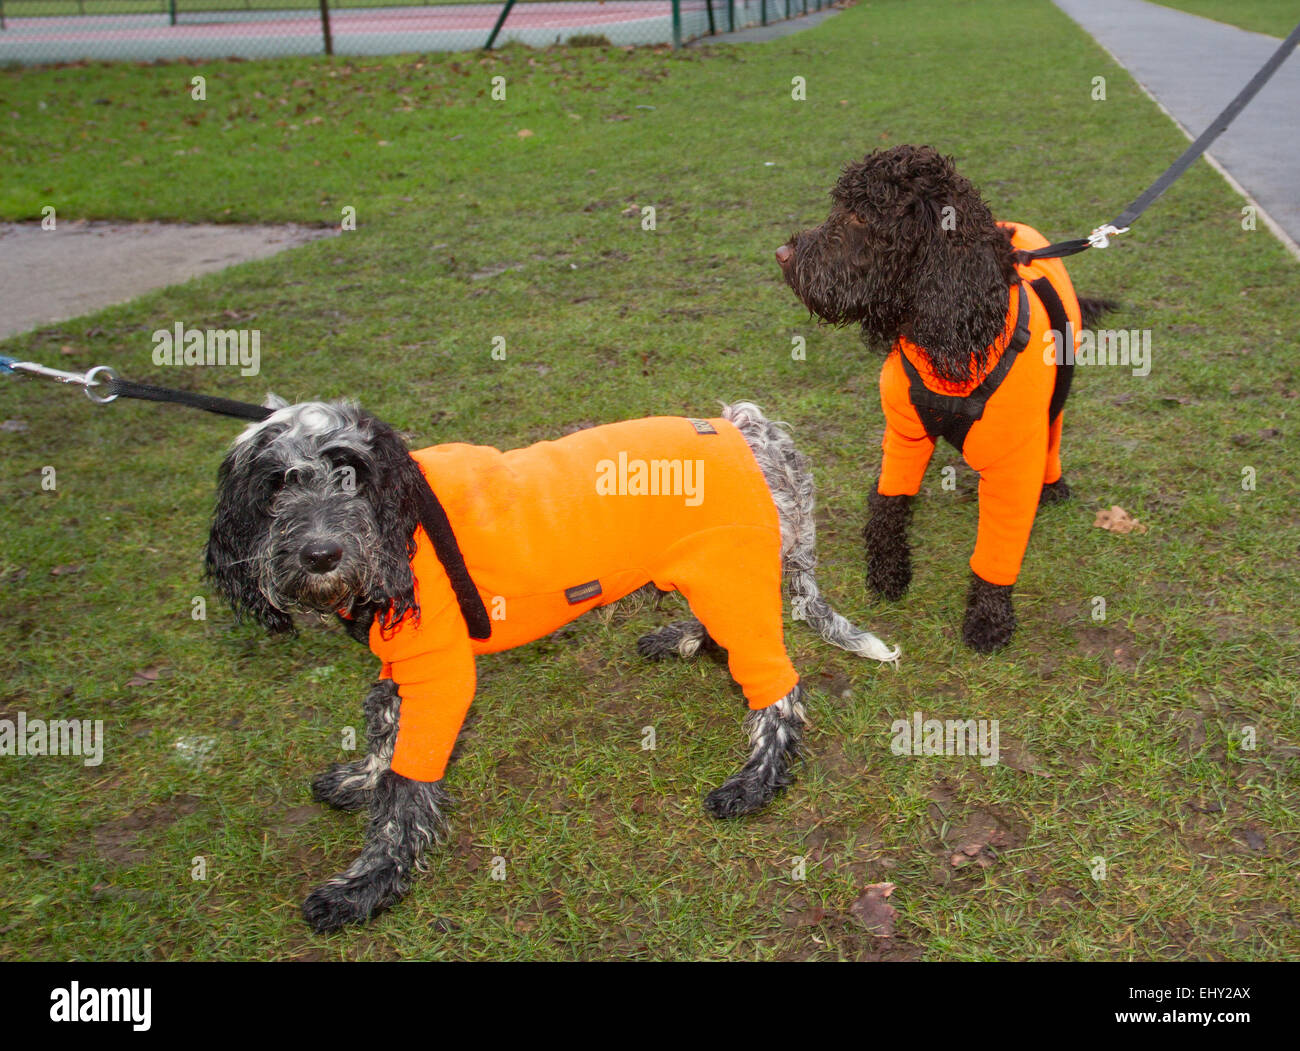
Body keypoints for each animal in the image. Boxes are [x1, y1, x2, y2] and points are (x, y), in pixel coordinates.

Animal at [205, 398, 894, 931]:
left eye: (351, 475)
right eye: (277, 482)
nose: (321, 553)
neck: (399, 531)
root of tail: (750, 429)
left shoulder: (441, 675)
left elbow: (407, 788)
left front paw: (367, 885)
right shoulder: (404, 670)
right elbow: (383, 728)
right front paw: (361, 780)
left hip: (730, 576)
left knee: (778, 692)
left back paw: (755, 782)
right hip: (714, 578)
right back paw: (686, 640)